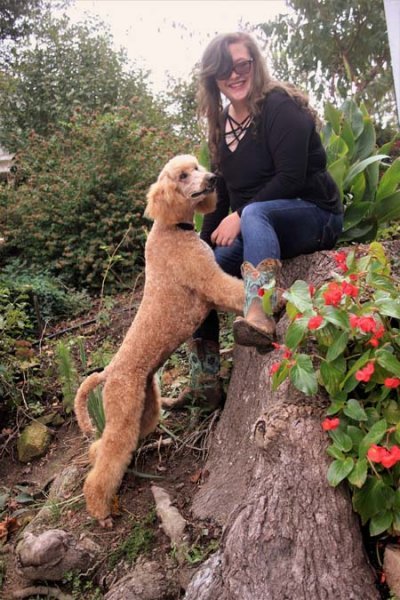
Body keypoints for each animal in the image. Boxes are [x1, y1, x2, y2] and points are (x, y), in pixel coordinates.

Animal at [74, 155, 245, 526]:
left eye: (197, 167)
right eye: (182, 175)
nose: (213, 178)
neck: (172, 230)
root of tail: (108, 373)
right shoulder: (210, 282)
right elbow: (235, 290)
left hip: (144, 408)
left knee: (102, 448)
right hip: (123, 412)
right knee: (106, 461)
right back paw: (100, 510)